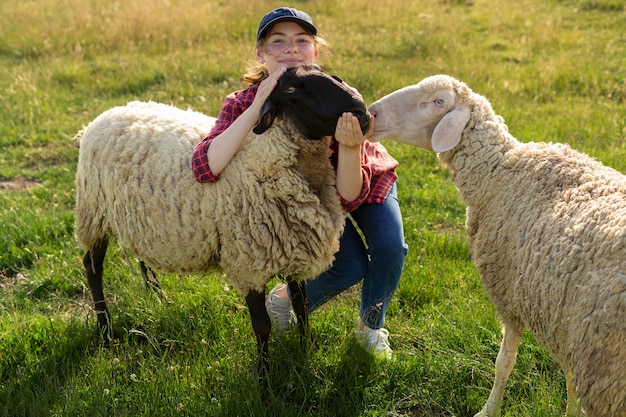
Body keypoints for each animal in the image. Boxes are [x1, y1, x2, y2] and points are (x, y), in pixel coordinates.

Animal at [72, 65, 370, 374]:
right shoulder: (248, 261)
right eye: (291, 89)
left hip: (140, 218)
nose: (361, 113)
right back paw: (105, 329)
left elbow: (303, 307)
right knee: (92, 267)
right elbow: (262, 327)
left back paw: (157, 296)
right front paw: (264, 377)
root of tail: (97, 120)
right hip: (94, 212)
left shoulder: (293, 251)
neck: (262, 158)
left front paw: (306, 350)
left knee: (142, 255)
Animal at [368, 75, 620, 416]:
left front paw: (488, 409)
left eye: (438, 102)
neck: (497, 169)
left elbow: (504, 363)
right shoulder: (565, 319)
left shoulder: (511, 296)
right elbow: (569, 379)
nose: (372, 112)